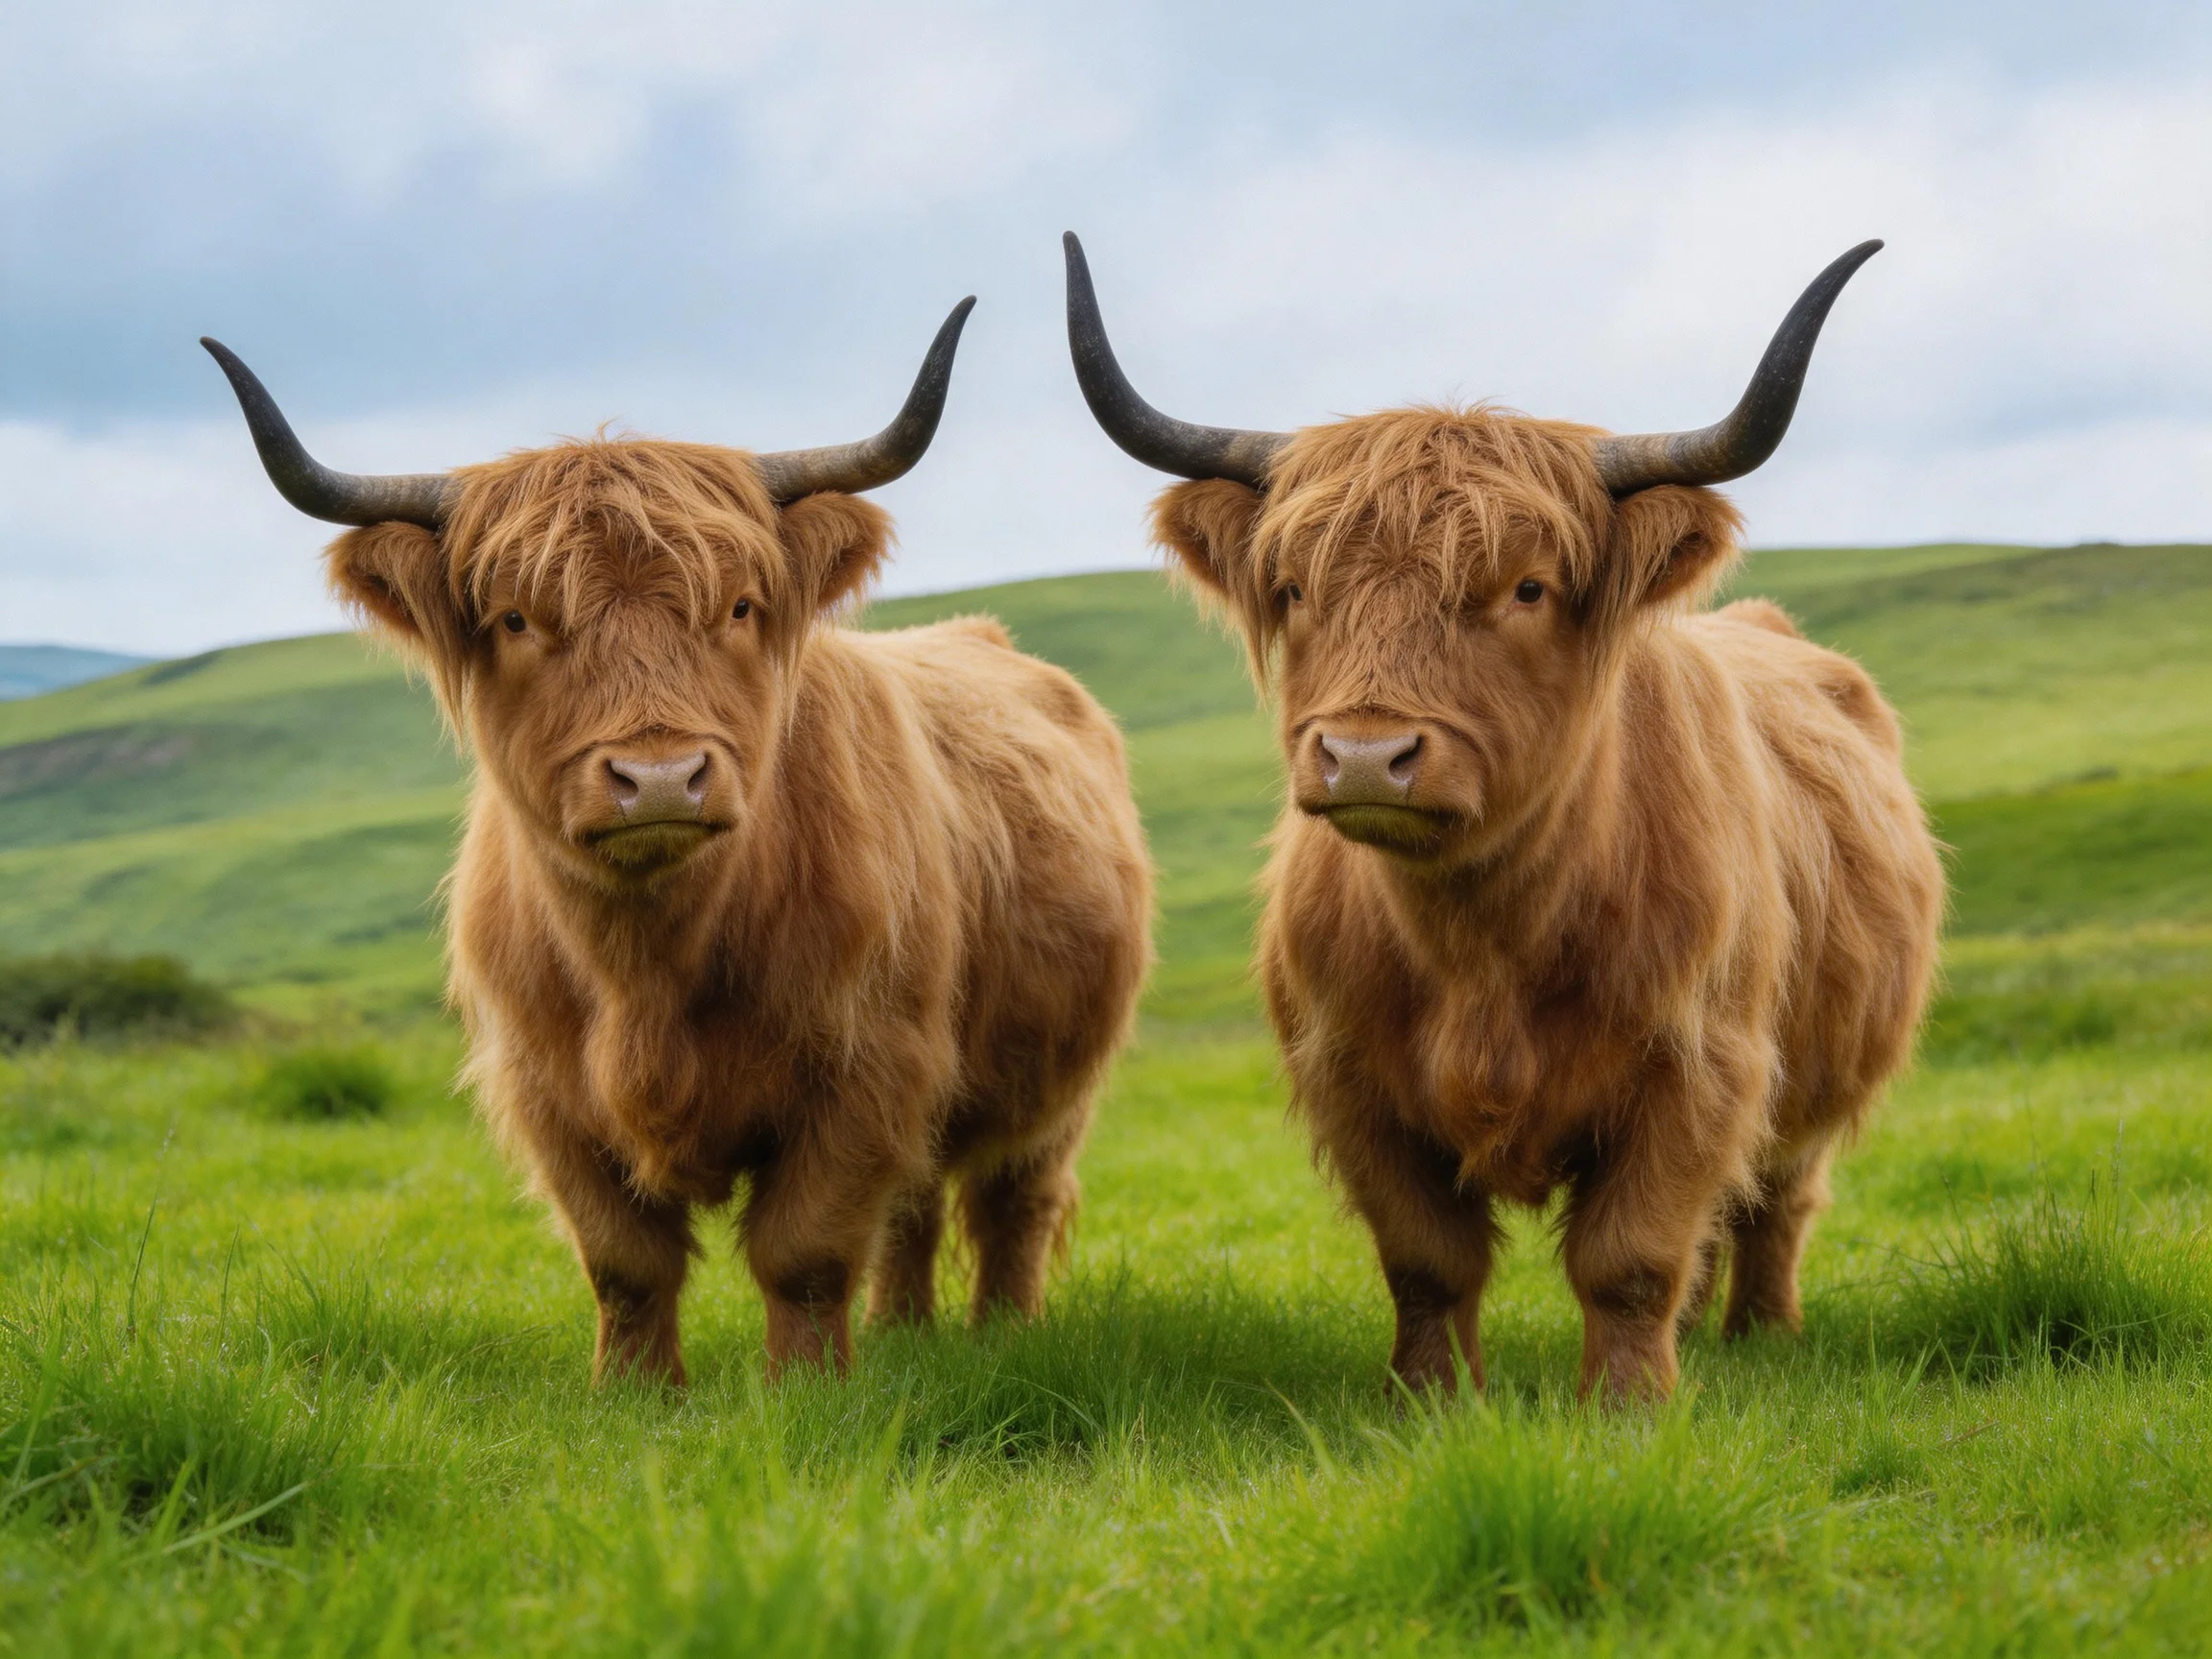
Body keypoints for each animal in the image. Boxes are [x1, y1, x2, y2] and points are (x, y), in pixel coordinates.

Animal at [206, 300, 1152, 1384]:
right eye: (517, 618)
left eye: (738, 605)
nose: (658, 777)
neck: (648, 967)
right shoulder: (548, 1092)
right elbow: (624, 1261)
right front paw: (638, 1392)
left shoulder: (869, 1067)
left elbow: (806, 1251)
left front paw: (807, 1391)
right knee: (914, 1213)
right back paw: (901, 1334)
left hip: (1057, 1083)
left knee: (1010, 1203)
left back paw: (1003, 1336)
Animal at [1064, 234, 1943, 1402]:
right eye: (1293, 589)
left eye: (1527, 588)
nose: (1365, 756)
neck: (1484, 942)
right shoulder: (1354, 1081)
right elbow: (1428, 1258)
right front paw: (1431, 1401)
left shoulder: (1701, 1066)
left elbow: (1630, 1255)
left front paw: (1629, 1408)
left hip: (1813, 1081)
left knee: (1775, 1203)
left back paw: (1763, 1338)